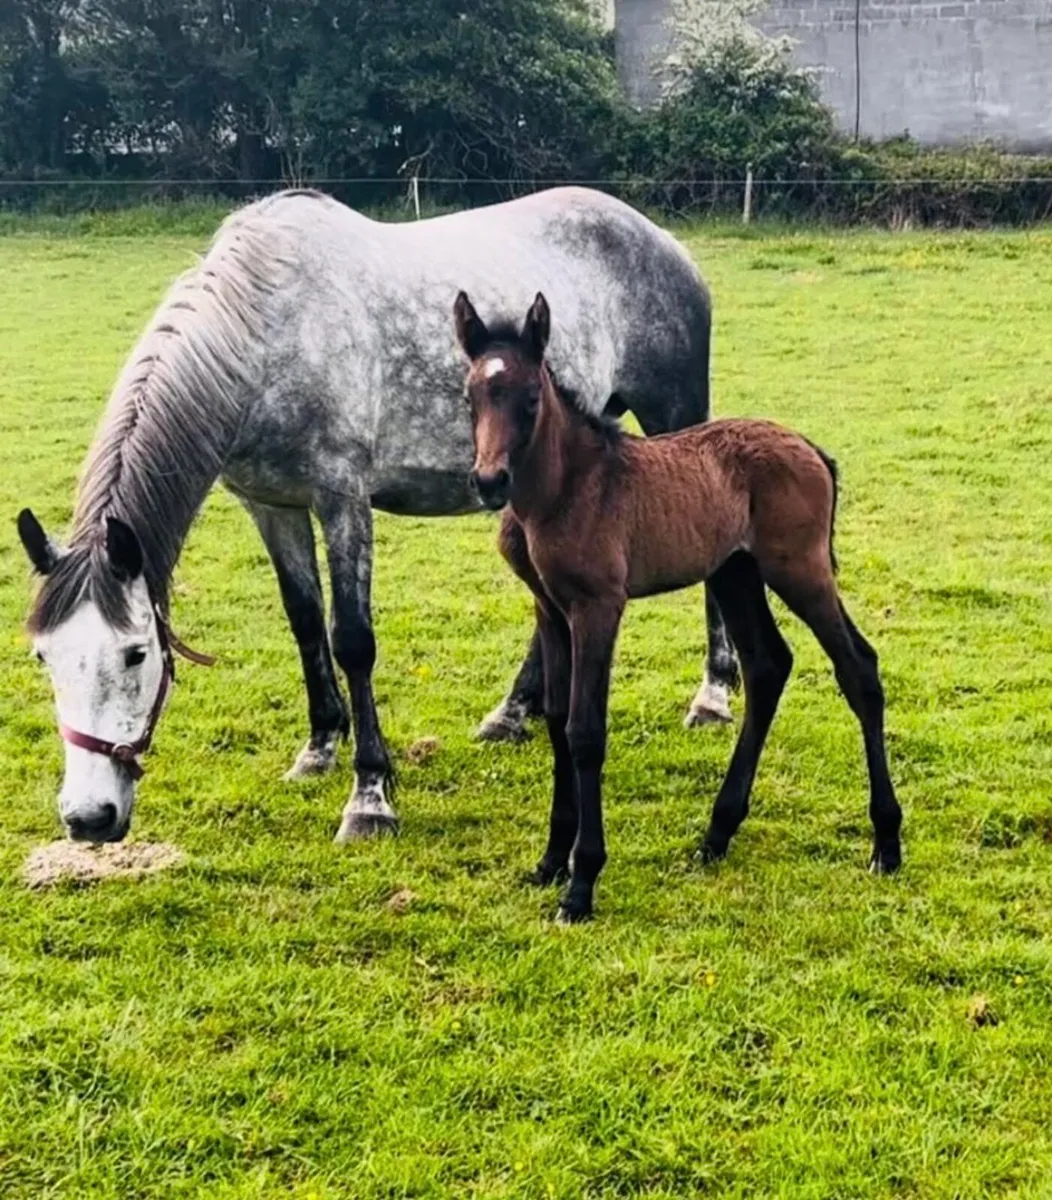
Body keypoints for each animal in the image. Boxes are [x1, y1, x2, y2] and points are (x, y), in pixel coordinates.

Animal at [16, 186, 737, 846]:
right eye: (45, 656)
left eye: (136, 653)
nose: (88, 818)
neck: (268, 331)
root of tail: (665, 241)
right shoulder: (270, 504)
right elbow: (305, 621)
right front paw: (318, 749)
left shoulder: (342, 496)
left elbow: (352, 639)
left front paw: (369, 797)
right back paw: (511, 713)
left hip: (674, 416)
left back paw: (712, 696)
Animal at [453, 289, 903, 924]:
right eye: (470, 396)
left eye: (531, 398)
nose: (489, 481)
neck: (566, 489)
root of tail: (812, 449)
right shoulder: (550, 610)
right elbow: (558, 721)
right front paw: (550, 861)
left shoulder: (598, 606)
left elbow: (585, 731)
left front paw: (581, 883)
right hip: (736, 573)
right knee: (768, 666)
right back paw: (717, 833)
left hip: (801, 570)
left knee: (858, 667)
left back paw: (886, 843)